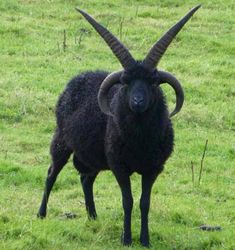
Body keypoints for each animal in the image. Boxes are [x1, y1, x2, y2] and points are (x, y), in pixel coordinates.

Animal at [38, 5, 200, 246]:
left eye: (153, 82)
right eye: (126, 82)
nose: (137, 102)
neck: (140, 140)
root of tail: (78, 78)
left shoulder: (152, 169)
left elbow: (144, 203)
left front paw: (145, 240)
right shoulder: (119, 167)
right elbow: (128, 201)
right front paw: (127, 239)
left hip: (94, 155)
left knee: (86, 179)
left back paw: (93, 217)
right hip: (62, 141)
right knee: (51, 174)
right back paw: (41, 214)